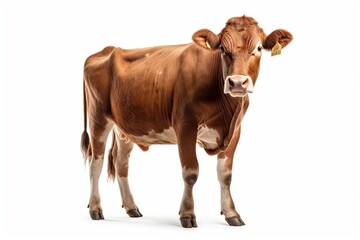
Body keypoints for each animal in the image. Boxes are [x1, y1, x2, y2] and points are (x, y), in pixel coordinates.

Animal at [81, 15, 292, 228]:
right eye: (223, 49)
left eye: (258, 48)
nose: (238, 83)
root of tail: (106, 50)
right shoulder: (185, 126)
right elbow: (190, 173)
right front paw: (187, 214)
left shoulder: (235, 131)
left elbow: (225, 175)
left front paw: (231, 213)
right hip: (98, 118)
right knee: (95, 163)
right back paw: (95, 208)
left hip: (125, 127)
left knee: (121, 163)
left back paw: (131, 207)